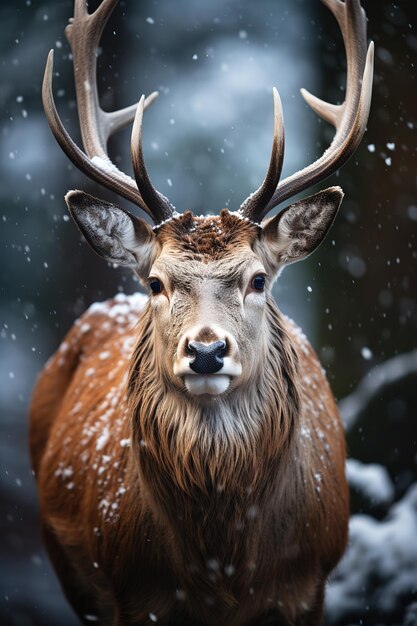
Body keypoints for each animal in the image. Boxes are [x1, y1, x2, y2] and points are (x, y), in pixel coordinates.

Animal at [29, 0, 374, 620]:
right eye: (157, 282)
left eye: (259, 278)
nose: (207, 351)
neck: (223, 565)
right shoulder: (133, 590)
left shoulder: (309, 582)